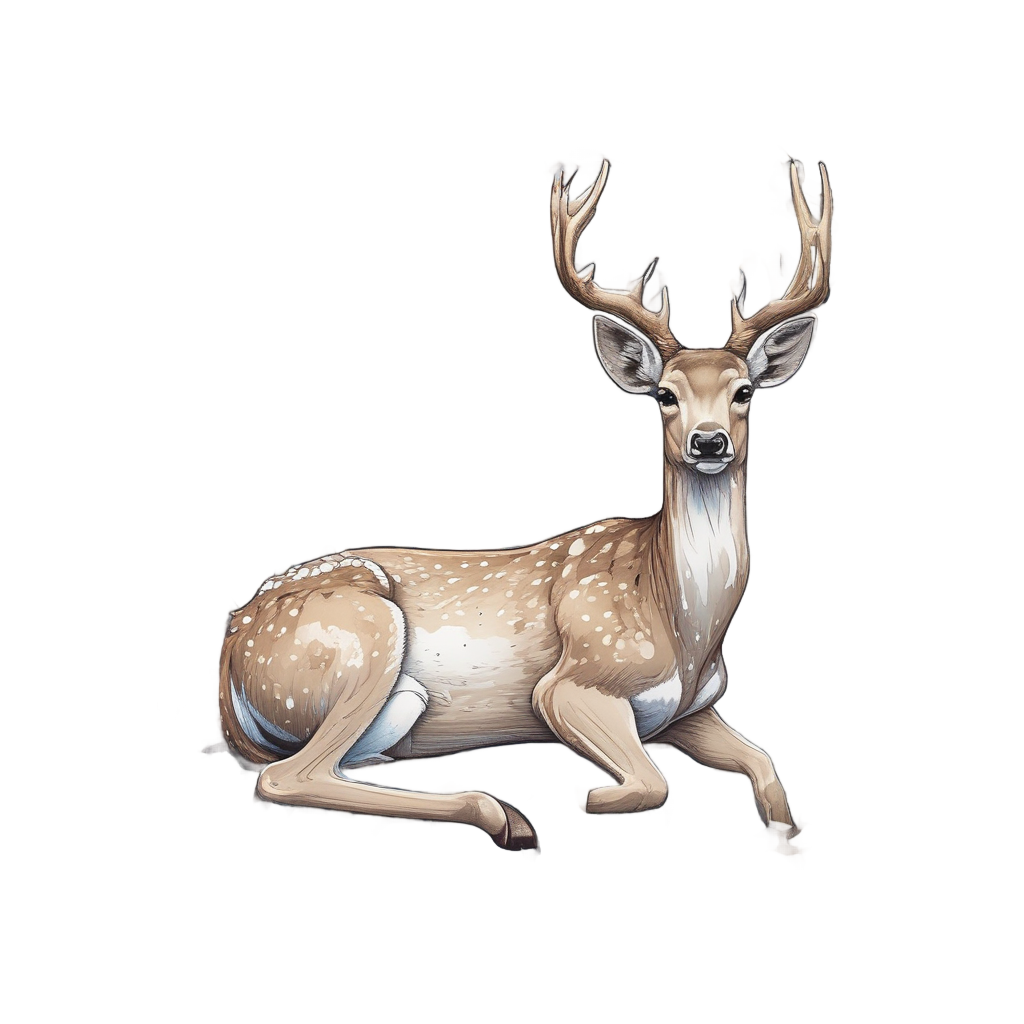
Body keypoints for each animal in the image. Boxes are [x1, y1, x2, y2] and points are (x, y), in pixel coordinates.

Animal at [218, 157, 832, 851]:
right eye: (665, 395)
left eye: (745, 391)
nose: (710, 442)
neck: (685, 627)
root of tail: (232, 652)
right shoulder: (569, 683)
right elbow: (651, 782)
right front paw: (598, 795)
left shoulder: (691, 712)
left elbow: (767, 766)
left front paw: (785, 829)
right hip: (363, 637)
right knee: (285, 776)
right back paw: (502, 815)